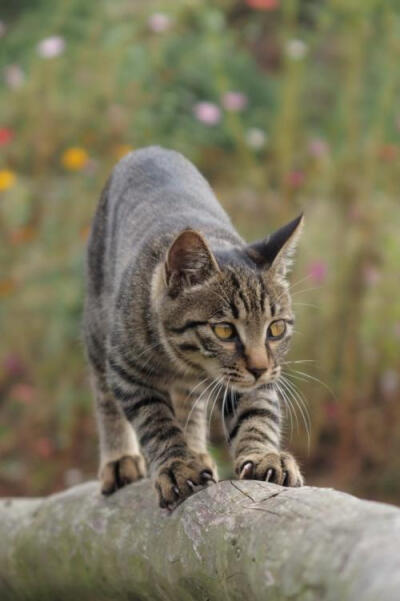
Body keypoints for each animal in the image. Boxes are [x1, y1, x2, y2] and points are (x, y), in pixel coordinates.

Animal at [83, 145, 304, 506]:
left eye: (275, 329)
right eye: (224, 330)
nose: (259, 368)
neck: (184, 361)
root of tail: (150, 148)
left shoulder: (254, 380)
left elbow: (256, 414)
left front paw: (263, 456)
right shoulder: (126, 371)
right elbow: (156, 422)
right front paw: (176, 465)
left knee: (190, 400)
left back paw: (197, 449)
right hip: (97, 323)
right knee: (103, 393)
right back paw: (119, 459)